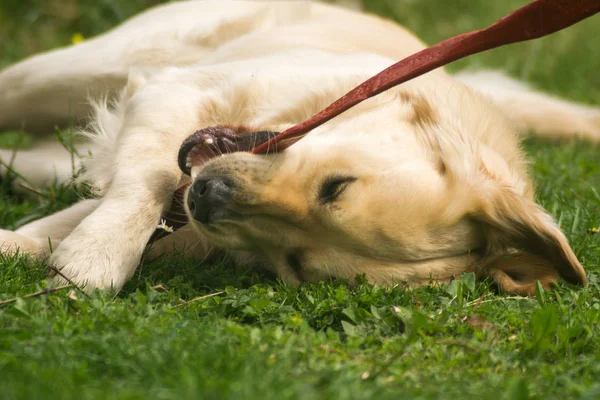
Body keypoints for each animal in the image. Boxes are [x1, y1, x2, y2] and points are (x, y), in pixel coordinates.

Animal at [0, 0, 596, 294]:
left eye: (293, 263)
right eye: (337, 186)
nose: (209, 195)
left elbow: (51, 233)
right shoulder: (174, 90)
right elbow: (144, 182)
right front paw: (94, 260)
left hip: (50, 161)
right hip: (62, 76)